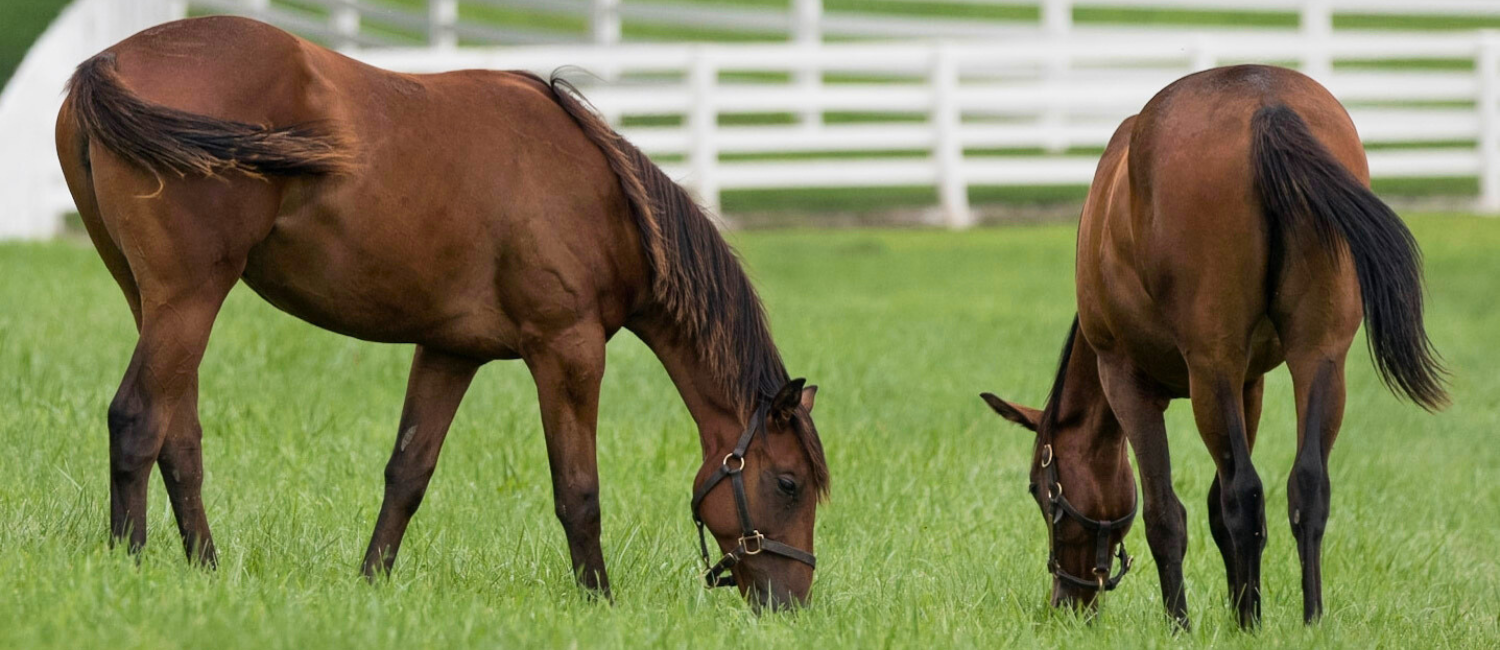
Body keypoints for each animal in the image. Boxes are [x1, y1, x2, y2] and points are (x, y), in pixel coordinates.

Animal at [54, 16, 829, 609]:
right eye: (788, 483)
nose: (791, 604)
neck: (603, 199)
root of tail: (107, 61)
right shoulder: (569, 353)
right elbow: (579, 492)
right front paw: (600, 603)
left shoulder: (450, 352)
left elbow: (408, 474)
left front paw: (370, 584)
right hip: (188, 299)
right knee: (137, 421)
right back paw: (128, 565)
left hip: (154, 301)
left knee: (178, 438)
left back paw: (206, 571)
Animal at [980, 64, 1446, 629]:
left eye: (1040, 489)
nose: (1066, 603)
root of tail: (1265, 103)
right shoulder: (1251, 383)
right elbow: (1219, 509)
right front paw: (1245, 614)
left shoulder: (1127, 380)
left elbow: (1166, 513)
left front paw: (1182, 624)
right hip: (1318, 357)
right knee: (1306, 484)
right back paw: (1309, 620)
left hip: (1212, 368)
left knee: (1243, 491)